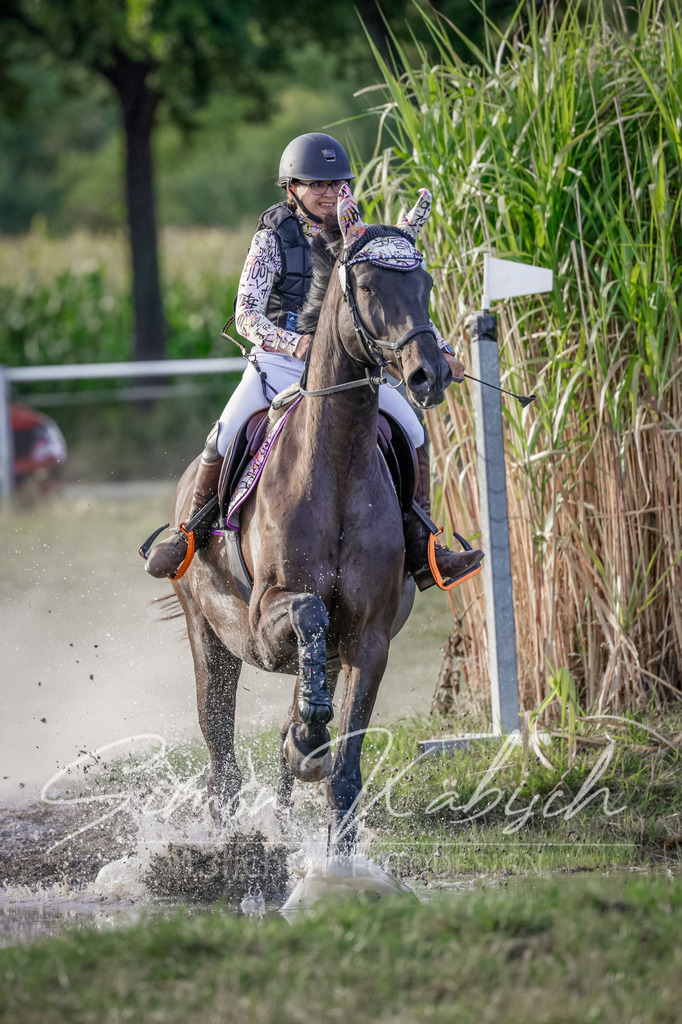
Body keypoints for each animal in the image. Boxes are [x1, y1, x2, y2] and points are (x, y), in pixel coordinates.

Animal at [171, 184, 453, 850]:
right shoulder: (267, 617)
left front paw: (339, 856)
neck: (336, 470)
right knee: (221, 755)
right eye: (368, 285)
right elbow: (307, 611)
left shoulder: (368, 641)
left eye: (425, 284)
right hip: (208, 637)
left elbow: (343, 772)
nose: (430, 374)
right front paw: (310, 735)